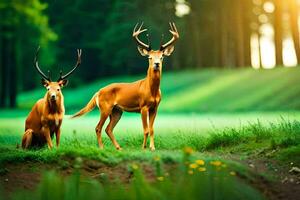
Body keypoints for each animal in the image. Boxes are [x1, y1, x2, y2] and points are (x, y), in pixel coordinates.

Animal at [72, 22, 180, 150]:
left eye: (162, 57)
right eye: (150, 57)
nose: (157, 64)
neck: (151, 90)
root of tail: (98, 92)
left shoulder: (155, 108)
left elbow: (152, 129)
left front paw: (152, 148)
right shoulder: (143, 106)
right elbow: (146, 130)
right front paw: (144, 147)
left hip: (117, 111)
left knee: (108, 128)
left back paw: (118, 147)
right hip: (105, 108)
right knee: (98, 127)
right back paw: (102, 147)